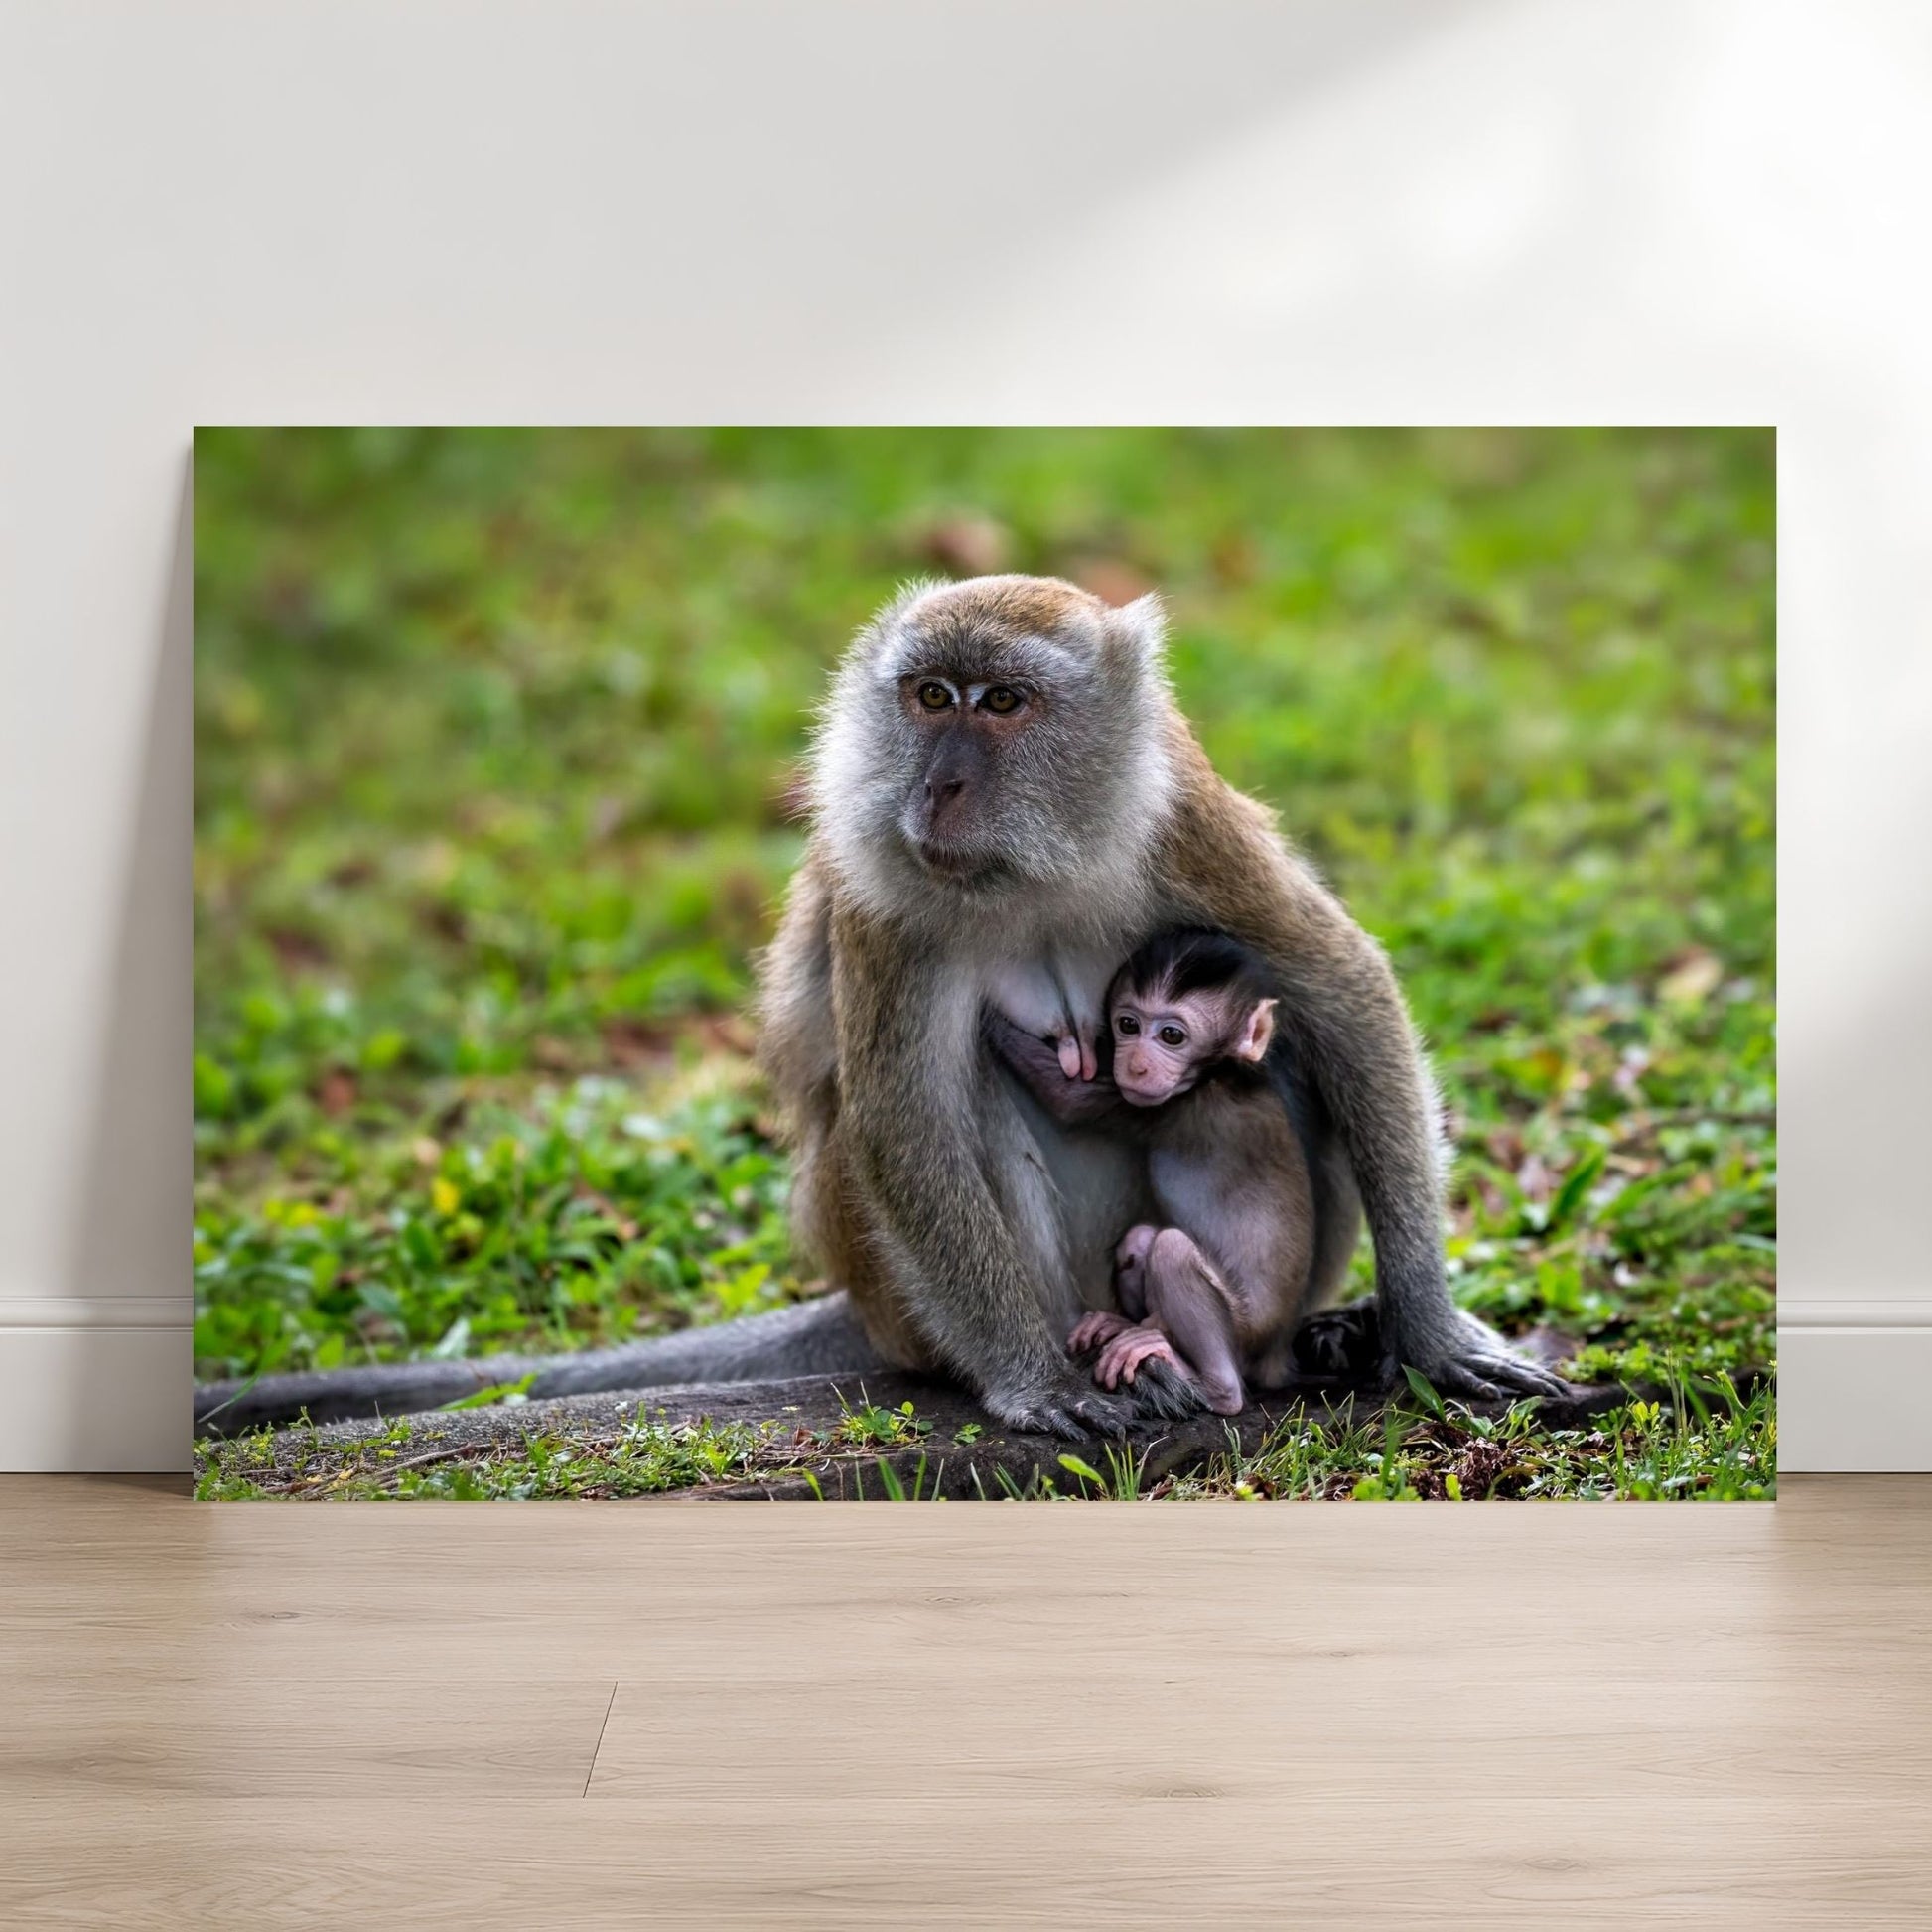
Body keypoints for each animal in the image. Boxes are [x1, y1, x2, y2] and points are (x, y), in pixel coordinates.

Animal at [984, 927, 1318, 1416]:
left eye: (1172, 1036)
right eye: (1128, 1025)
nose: (1136, 1065)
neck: (1222, 1073)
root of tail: (1275, 1351)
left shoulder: (1176, 1108)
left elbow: (1069, 1099)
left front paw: (990, 1023)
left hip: (1246, 1330)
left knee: (1172, 1250)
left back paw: (1212, 1384)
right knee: (1140, 1241)